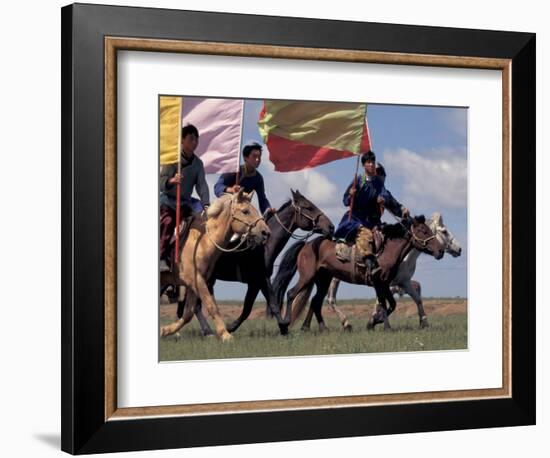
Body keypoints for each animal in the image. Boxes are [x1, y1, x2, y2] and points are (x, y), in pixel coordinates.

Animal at [160, 190, 272, 340]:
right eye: (245, 211)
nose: (266, 232)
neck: (202, 242)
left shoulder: (194, 283)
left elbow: (188, 313)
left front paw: (165, 330)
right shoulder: (197, 281)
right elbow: (211, 305)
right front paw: (225, 334)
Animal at [189, 188, 336, 334]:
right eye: (308, 207)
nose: (331, 227)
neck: (264, 246)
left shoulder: (261, 280)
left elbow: (271, 304)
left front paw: (283, 327)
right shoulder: (256, 281)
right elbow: (249, 308)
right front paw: (230, 327)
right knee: (196, 305)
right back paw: (207, 330)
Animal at [274, 216, 446, 330]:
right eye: (423, 231)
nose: (441, 251)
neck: (386, 251)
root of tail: (306, 245)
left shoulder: (385, 284)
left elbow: (392, 304)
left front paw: (374, 322)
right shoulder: (379, 284)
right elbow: (383, 304)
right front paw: (384, 326)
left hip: (323, 280)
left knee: (316, 302)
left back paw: (321, 328)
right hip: (307, 277)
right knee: (291, 293)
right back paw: (286, 323)